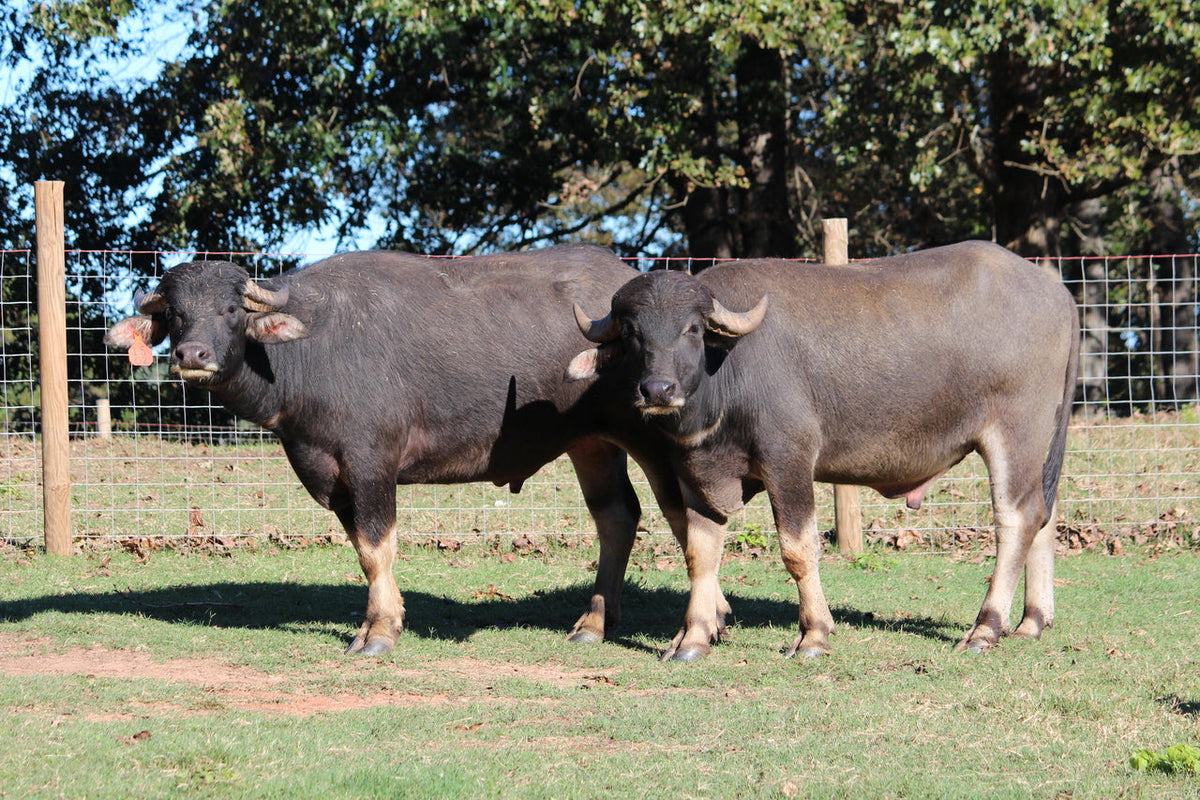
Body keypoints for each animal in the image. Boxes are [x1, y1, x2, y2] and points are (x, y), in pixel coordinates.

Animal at [569, 241, 1080, 660]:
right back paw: (1031, 621)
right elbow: (699, 552)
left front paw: (813, 634)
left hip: (1015, 432)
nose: (658, 389)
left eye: (693, 329)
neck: (727, 373)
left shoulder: (789, 461)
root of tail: (1058, 293)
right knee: (1045, 512)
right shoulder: (696, 473)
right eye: (632, 333)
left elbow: (798, 550)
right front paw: (693, 637)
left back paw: (986, 628)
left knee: (1017, 517)